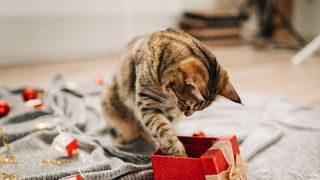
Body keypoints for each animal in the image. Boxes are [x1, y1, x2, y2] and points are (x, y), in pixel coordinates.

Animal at [101, 27, 241, 157]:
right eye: (186, 103)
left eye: (196, 109)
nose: (186, 115)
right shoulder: (148, 104)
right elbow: (161, 131)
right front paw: (178, 154)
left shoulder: (170, 110)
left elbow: (165, 127)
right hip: (110, 105)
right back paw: (122, 140)